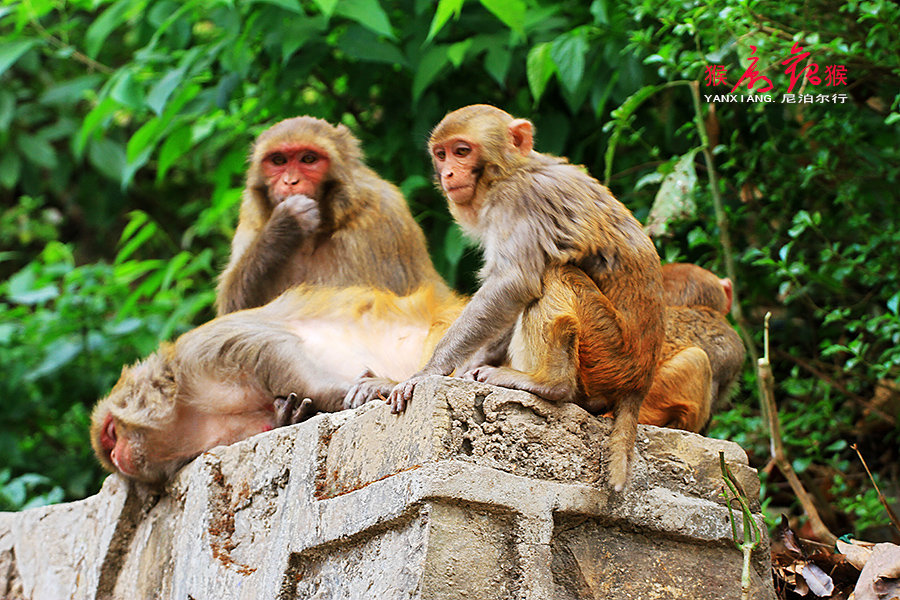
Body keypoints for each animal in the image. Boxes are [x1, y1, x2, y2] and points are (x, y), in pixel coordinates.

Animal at [91, 284, 464, 486]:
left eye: (111, 433)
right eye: (109, 449)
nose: (115, 455)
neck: (189, 405)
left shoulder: (201, 350)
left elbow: (269, 350)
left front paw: (357, 393)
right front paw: (289, 416)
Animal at [215, 115, 446, 316]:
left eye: (308, 159)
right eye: (278, 160)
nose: (290, 181)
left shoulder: (382, 222)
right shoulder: (251, 217)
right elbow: (232, 309)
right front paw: (285, 224)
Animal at [386, 104, 668, 492]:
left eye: (462, 151)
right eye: (441, 154)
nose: (447, 172)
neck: (511, 171)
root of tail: (640, 382)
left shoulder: (519, 200)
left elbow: (512, 283)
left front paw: (429, 370)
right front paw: (468, 366)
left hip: (610, 353)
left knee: (555, 273)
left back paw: (549, 384)